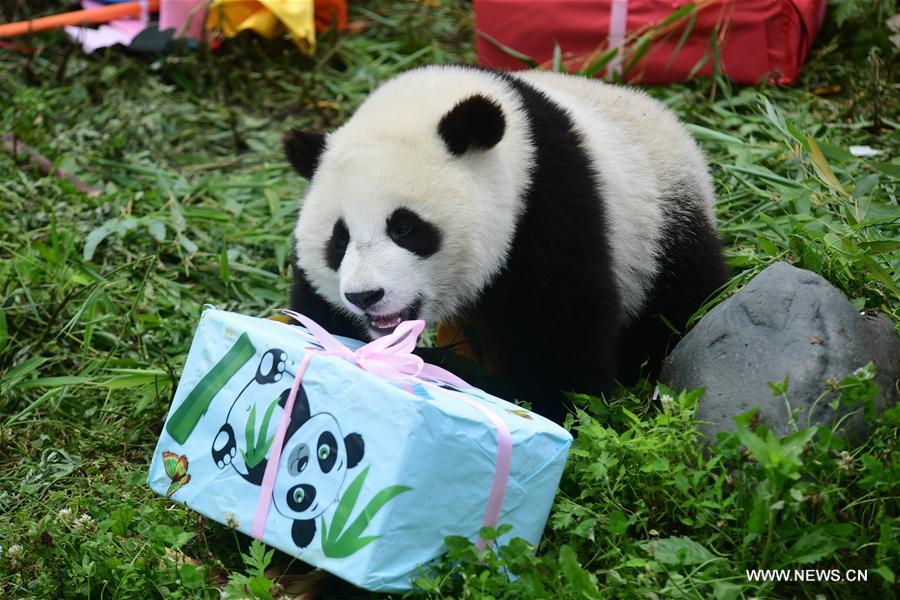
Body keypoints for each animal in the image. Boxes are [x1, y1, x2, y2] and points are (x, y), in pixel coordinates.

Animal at [211, 348, 365, 547]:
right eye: (324, 452)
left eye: (299, 496)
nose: (299, 460)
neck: (285, 444)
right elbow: (295, 405)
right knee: (264, 379)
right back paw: (273, 364)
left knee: (228, 432)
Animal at [284, 65, 729, 424]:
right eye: (339, 239)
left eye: (405, 228)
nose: (365, 296)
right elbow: (317, 313)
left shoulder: (550, 207)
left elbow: (560, 335)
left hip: (658, 227)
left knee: (677, 304)